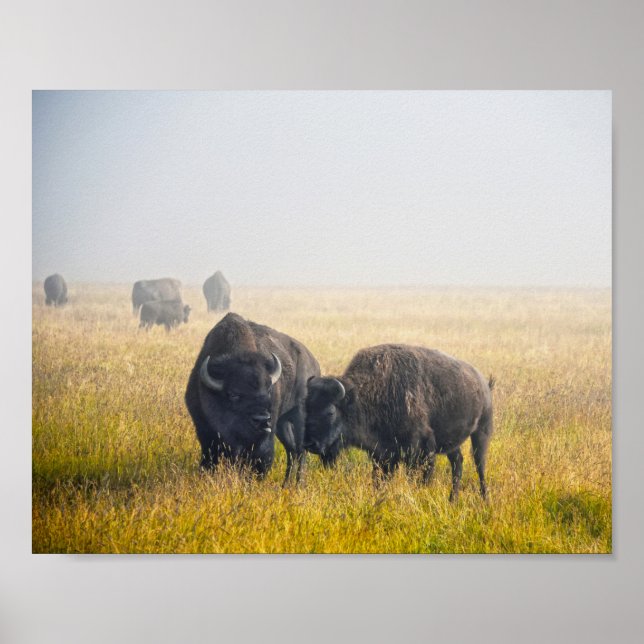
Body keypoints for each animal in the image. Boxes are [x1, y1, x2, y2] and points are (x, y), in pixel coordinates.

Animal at [185, 312, 320, 484]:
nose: (262, 420)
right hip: (283, 423)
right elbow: (210, 459)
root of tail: (314, 362)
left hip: (297, 416)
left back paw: (298, 484)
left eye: (268, 389)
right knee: (292, 450)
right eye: (233, 394)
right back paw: (286, 484)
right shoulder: (205, 433)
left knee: (301, 451)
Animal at [304, 344, 494, 501]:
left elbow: (420, 479)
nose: (310, 444)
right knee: (458, 464)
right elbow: (379, 480)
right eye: (307, 408)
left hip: (481, 432)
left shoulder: (421, 452)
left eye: (330, 411)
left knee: (480, 465)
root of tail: (483, 383)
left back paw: (485, 498)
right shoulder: (382, 456)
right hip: (452, 444)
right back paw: (452, 500)